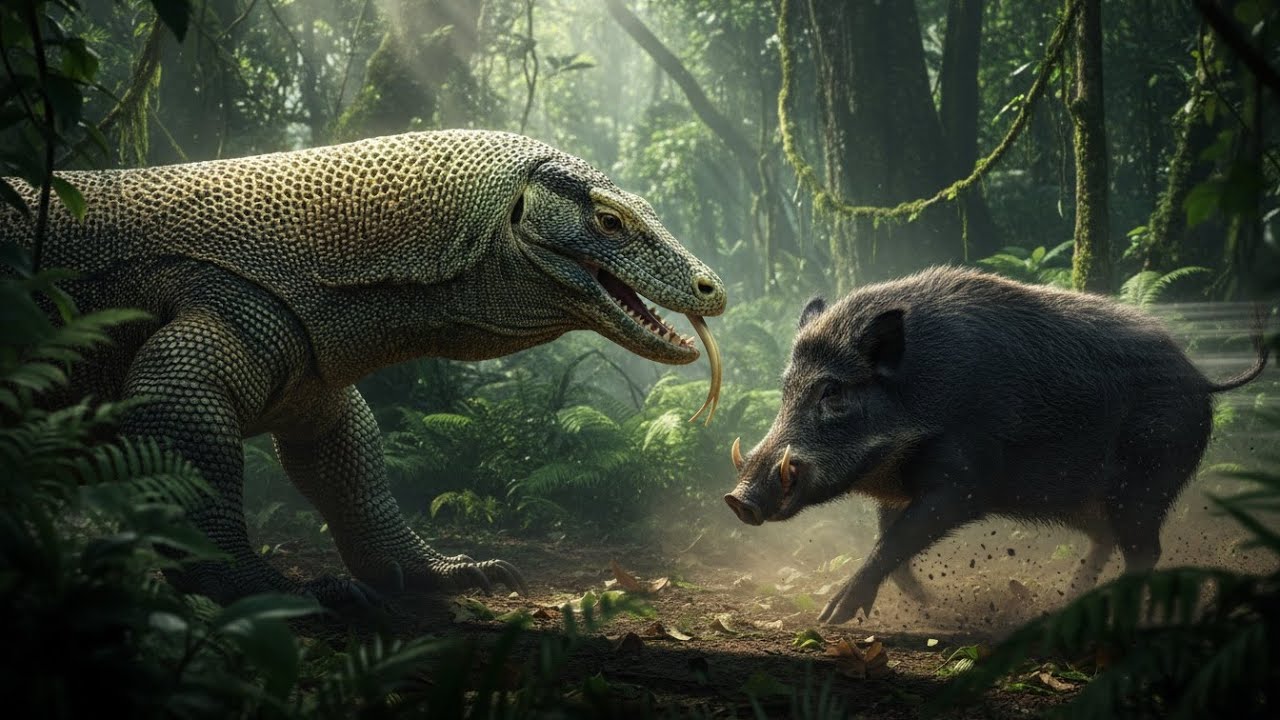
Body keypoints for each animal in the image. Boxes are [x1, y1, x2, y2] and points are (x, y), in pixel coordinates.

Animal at [724, 265, 1271, 625]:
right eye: (786, 387)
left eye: (832, 392)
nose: (738, 499)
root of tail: (1201, 380)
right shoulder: (901, 488)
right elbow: (888, 539)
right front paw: (927, 607)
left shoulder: (962, 484)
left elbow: (894, 540)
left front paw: (831, 617)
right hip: (1092, 500)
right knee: (1105, 541)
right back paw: (1066, 602)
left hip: (1146, 481)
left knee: (1145, 551)